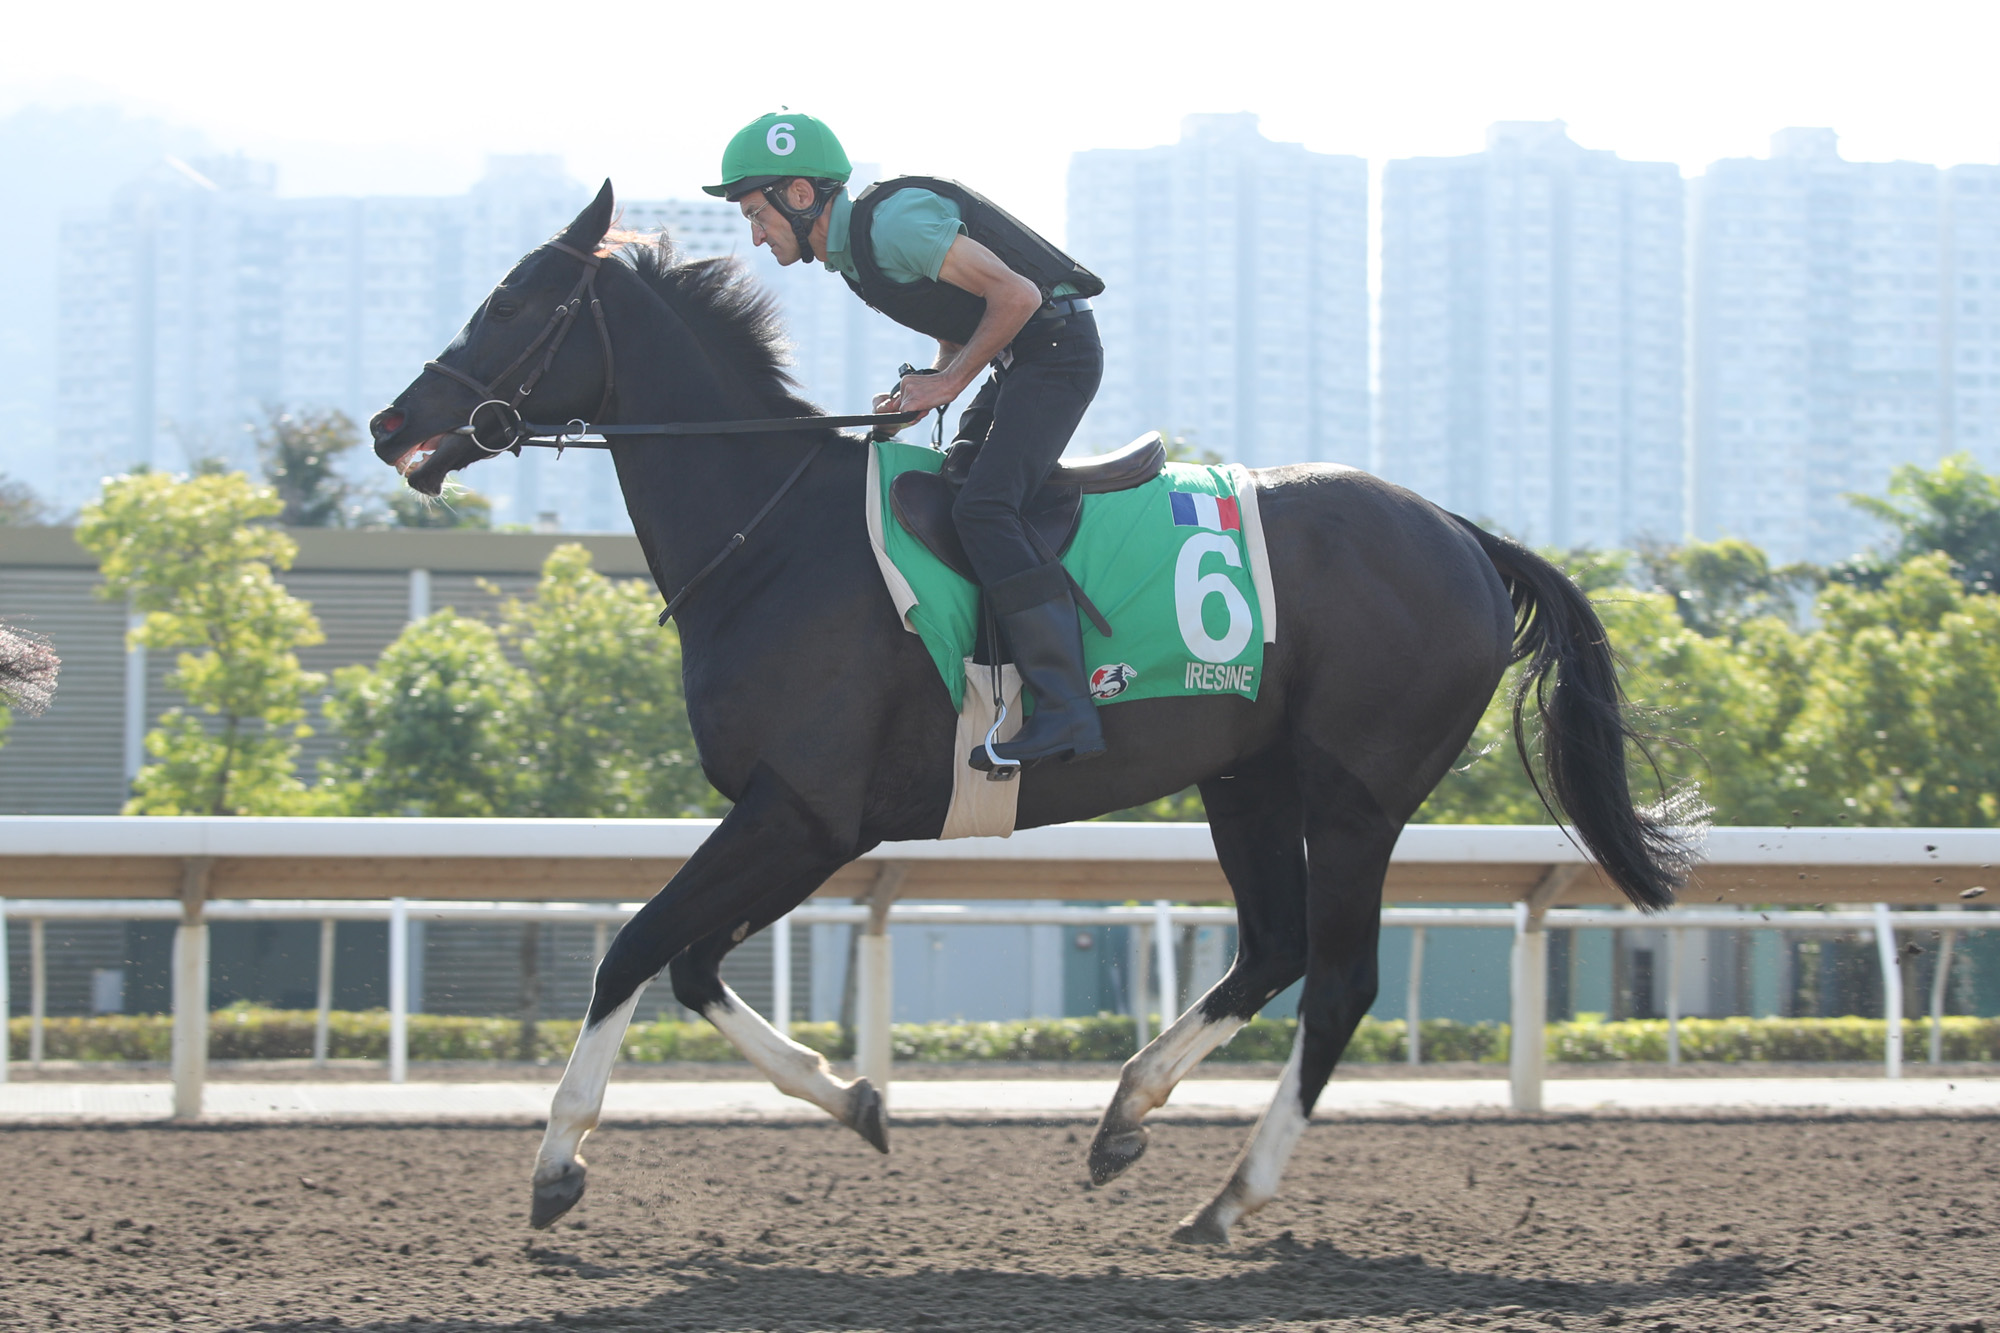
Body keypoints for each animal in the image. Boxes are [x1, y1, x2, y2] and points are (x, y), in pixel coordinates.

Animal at [368, 182, 1696, 1240]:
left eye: (509, 301)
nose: (392, 423)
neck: (772, 537)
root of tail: (1465, 535)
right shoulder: (819, 824)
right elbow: (690, 963)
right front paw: (856, 1097)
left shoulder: (802, 811)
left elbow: (635, 946)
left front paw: (556, 1160)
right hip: (1243, 776)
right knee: (1269, 946)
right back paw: (1123, 1114)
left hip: (1356, 791)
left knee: (1336, 982)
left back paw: (1228, 1196)